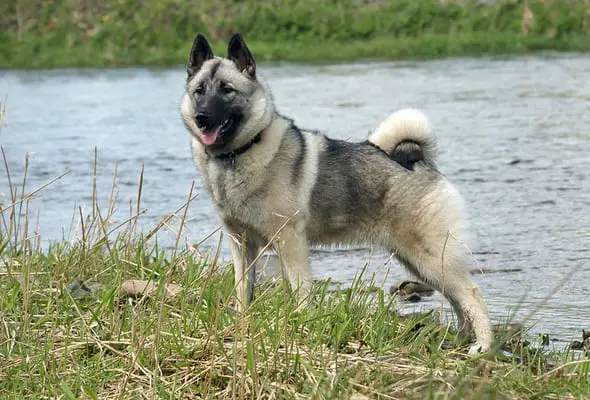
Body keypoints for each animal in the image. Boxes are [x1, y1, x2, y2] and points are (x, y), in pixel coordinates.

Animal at [180, 33, 494, 354]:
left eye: (227, 90)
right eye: (199, 91)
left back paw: (482, 346)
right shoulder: (241, 244)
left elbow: (300, 289)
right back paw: (461, 340)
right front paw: (242, 323)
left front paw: (299, 324)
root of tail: (418, 160)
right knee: (457, 299)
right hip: (418, 261)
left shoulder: (290, 241)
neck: (239, 153)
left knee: (471, 292)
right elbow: (243, 289)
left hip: (429, 256)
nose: (202, 117)